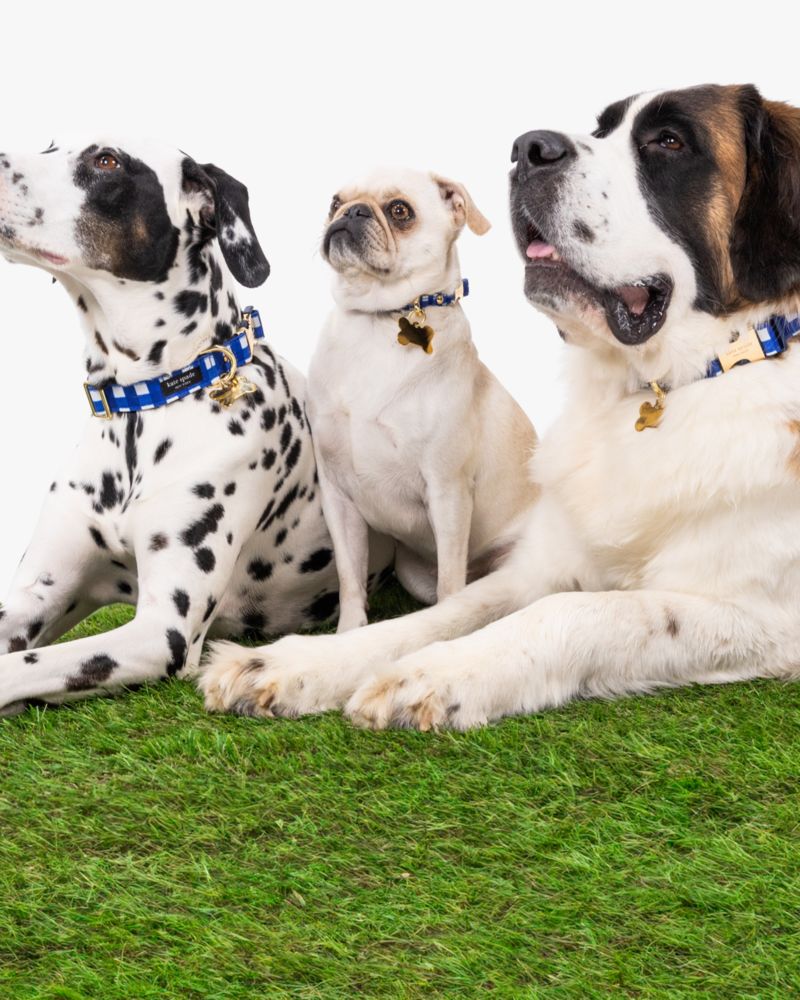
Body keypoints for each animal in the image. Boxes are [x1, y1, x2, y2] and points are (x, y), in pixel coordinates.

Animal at [0, 141, 382, 716]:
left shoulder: (162, 631)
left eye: (107, 161)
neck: (142, 406)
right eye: (47, 145)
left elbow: (18, 667)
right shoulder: (39, 593)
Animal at [202, 84, 800, 728]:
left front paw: (431, 675)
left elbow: (576, 611)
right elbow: (441, 613)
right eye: (601, 128)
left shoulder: (758, 615)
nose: (529, 148)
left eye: (669, 141)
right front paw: (294, 663)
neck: (670, 383)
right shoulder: (532, 562)